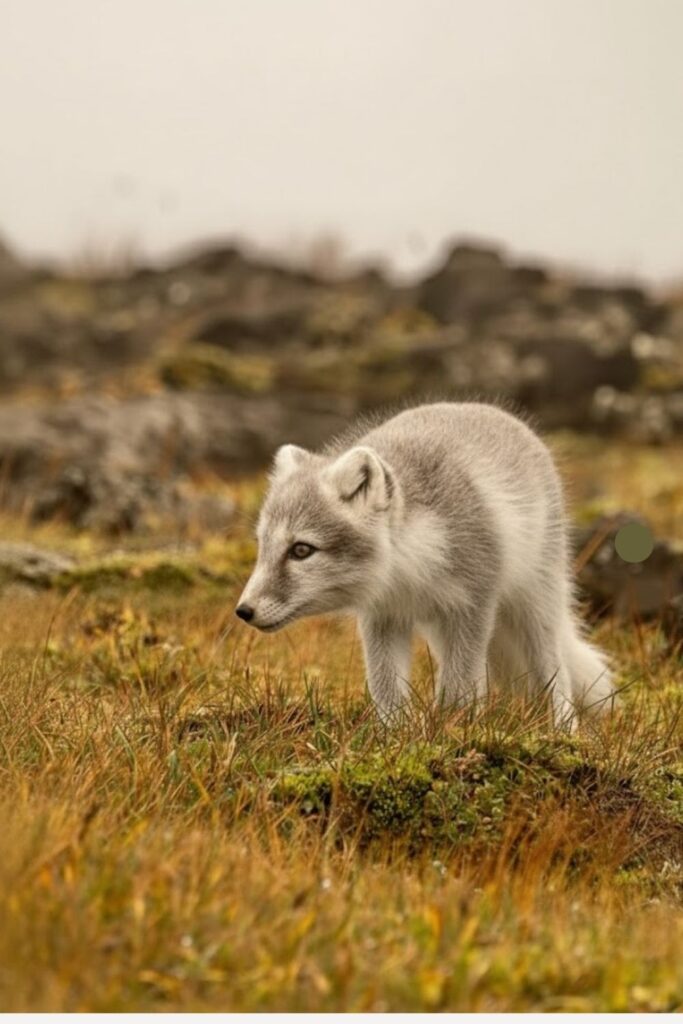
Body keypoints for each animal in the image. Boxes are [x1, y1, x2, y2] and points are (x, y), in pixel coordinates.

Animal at [236, 401, 615, 726]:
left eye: (301, 550)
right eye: (262, 545)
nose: (243, 611)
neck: (406, 575)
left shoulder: (473, 606)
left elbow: (460, 685)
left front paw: (451, 731)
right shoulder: (382, 617)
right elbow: (386, 688)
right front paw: (396, 737)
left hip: (534, 606)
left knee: (555, 674)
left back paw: (563, 731)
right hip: (440, 629)